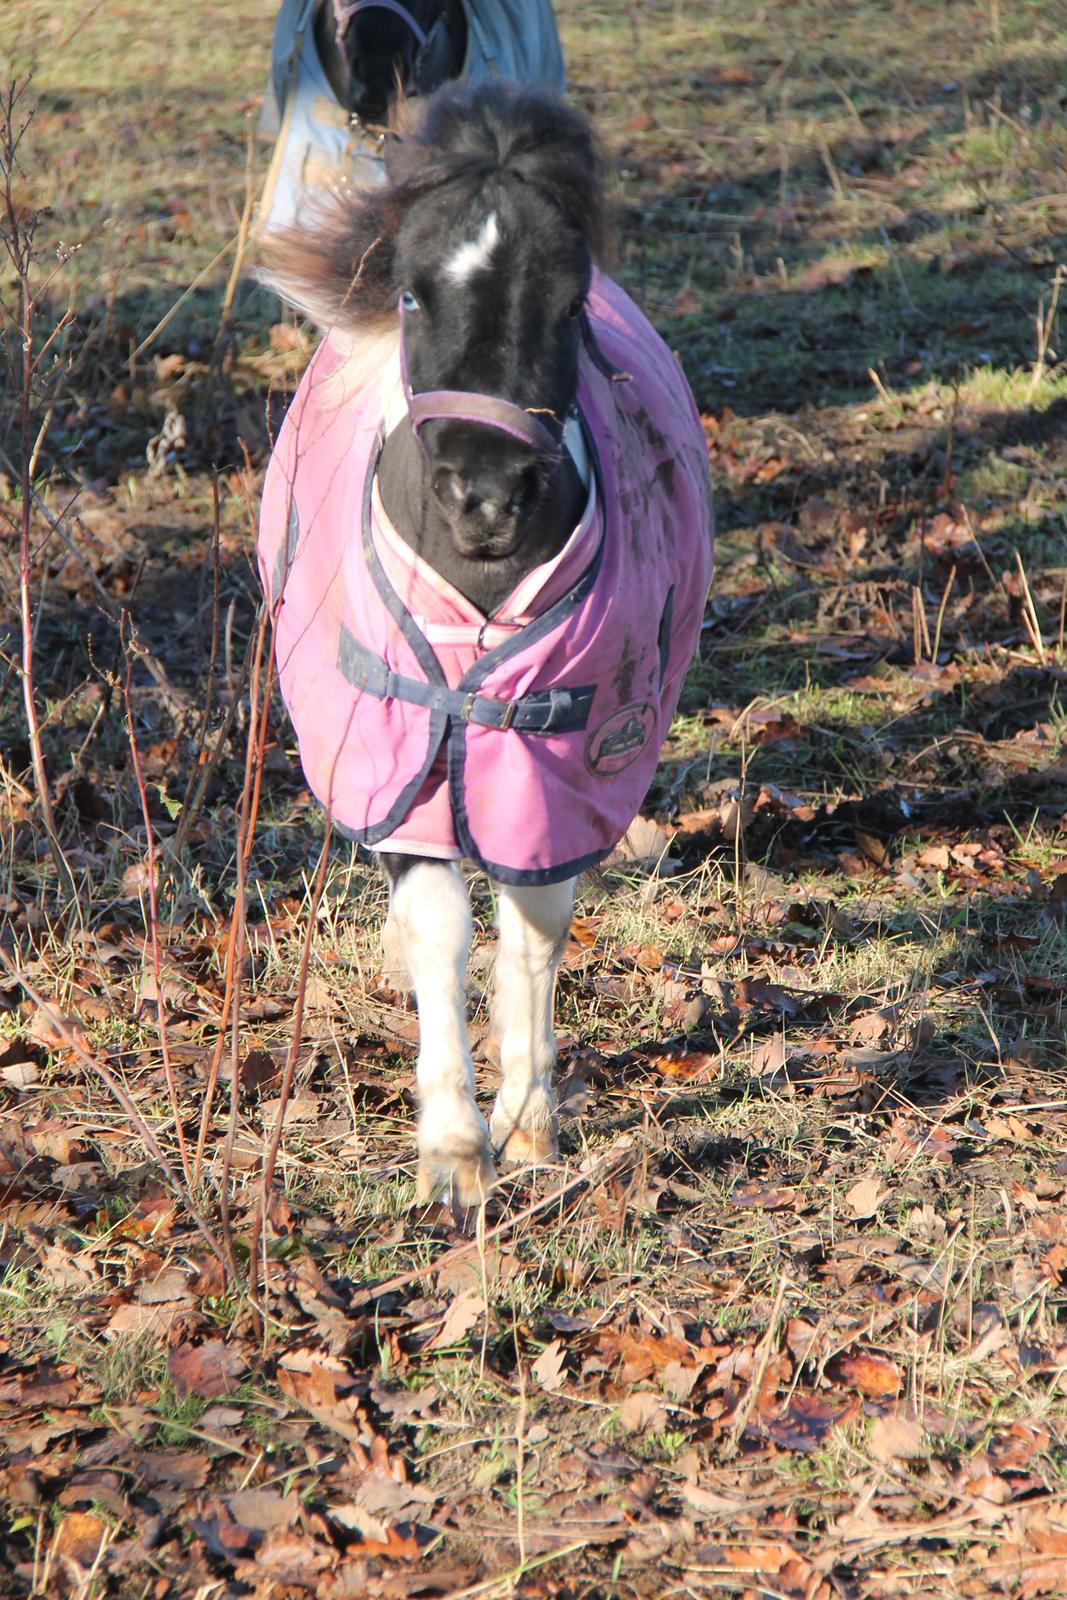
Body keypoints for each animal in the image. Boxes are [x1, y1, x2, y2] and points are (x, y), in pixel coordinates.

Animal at [255, 78, 716, 1203]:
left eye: (569, 302)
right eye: (413, 295)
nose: (487, 497)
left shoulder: (557, 764)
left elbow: (533, 927)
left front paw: (527, 1125)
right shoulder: (401, 756)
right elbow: (439, 930)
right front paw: (455, 1154)